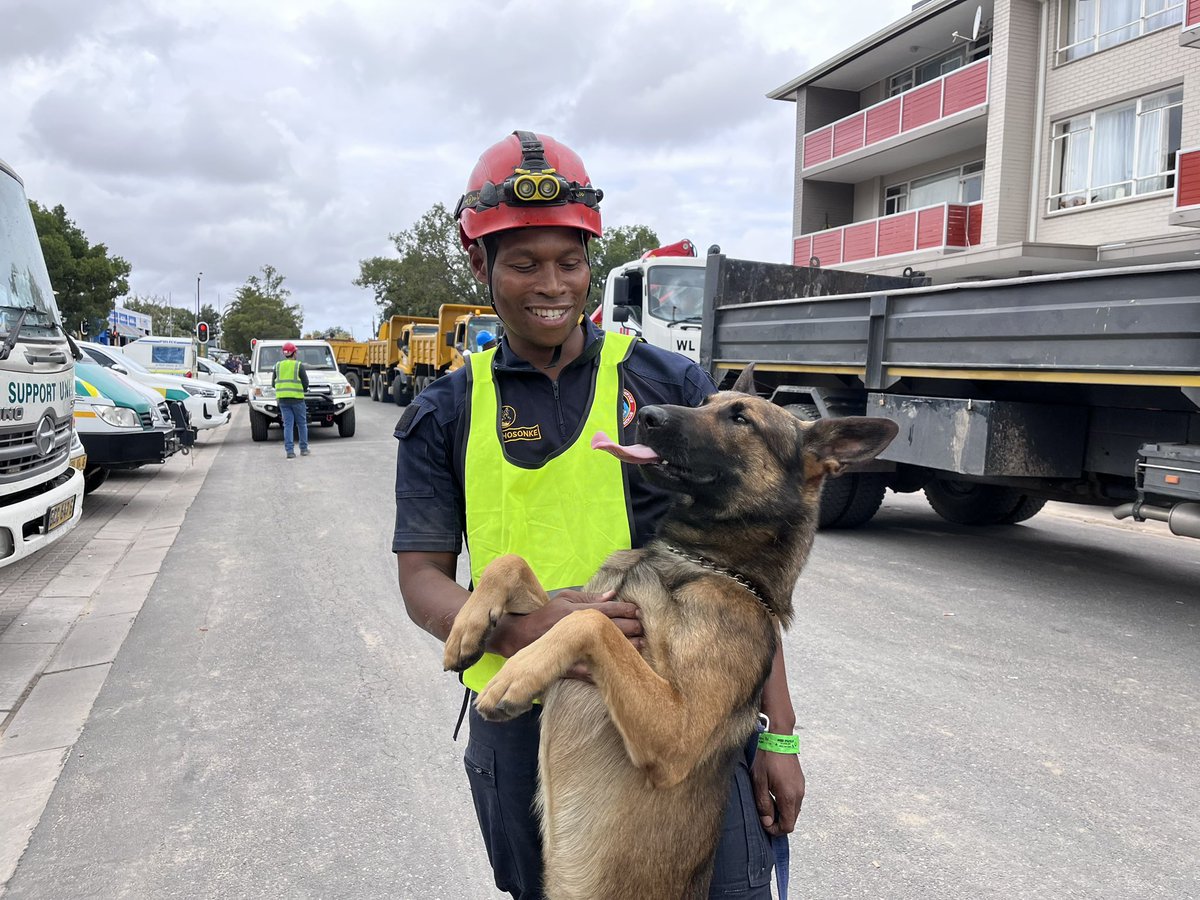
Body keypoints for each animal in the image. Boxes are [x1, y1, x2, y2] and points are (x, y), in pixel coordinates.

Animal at [446, 367, 897, 900]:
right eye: (705, 402)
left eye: (741, 418)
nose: (646, 414)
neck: (704, 563)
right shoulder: (585, 599)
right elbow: (513, 566)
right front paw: (467, 628)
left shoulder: (675, 736)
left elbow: (591, 623)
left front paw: (515, 675)